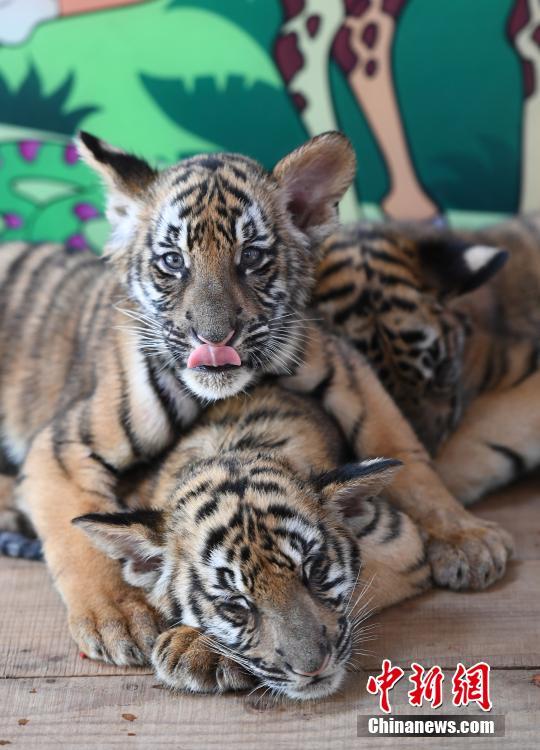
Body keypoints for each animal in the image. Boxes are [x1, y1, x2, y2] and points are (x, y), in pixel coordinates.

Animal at [0, 131, 512, 666]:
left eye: (250, 258)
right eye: (173, 261)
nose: (213, 338)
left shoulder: (346, 372)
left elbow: (408, 461)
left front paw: (466, 536)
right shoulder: (63, 445)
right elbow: (77, 536)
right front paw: (118, 615)